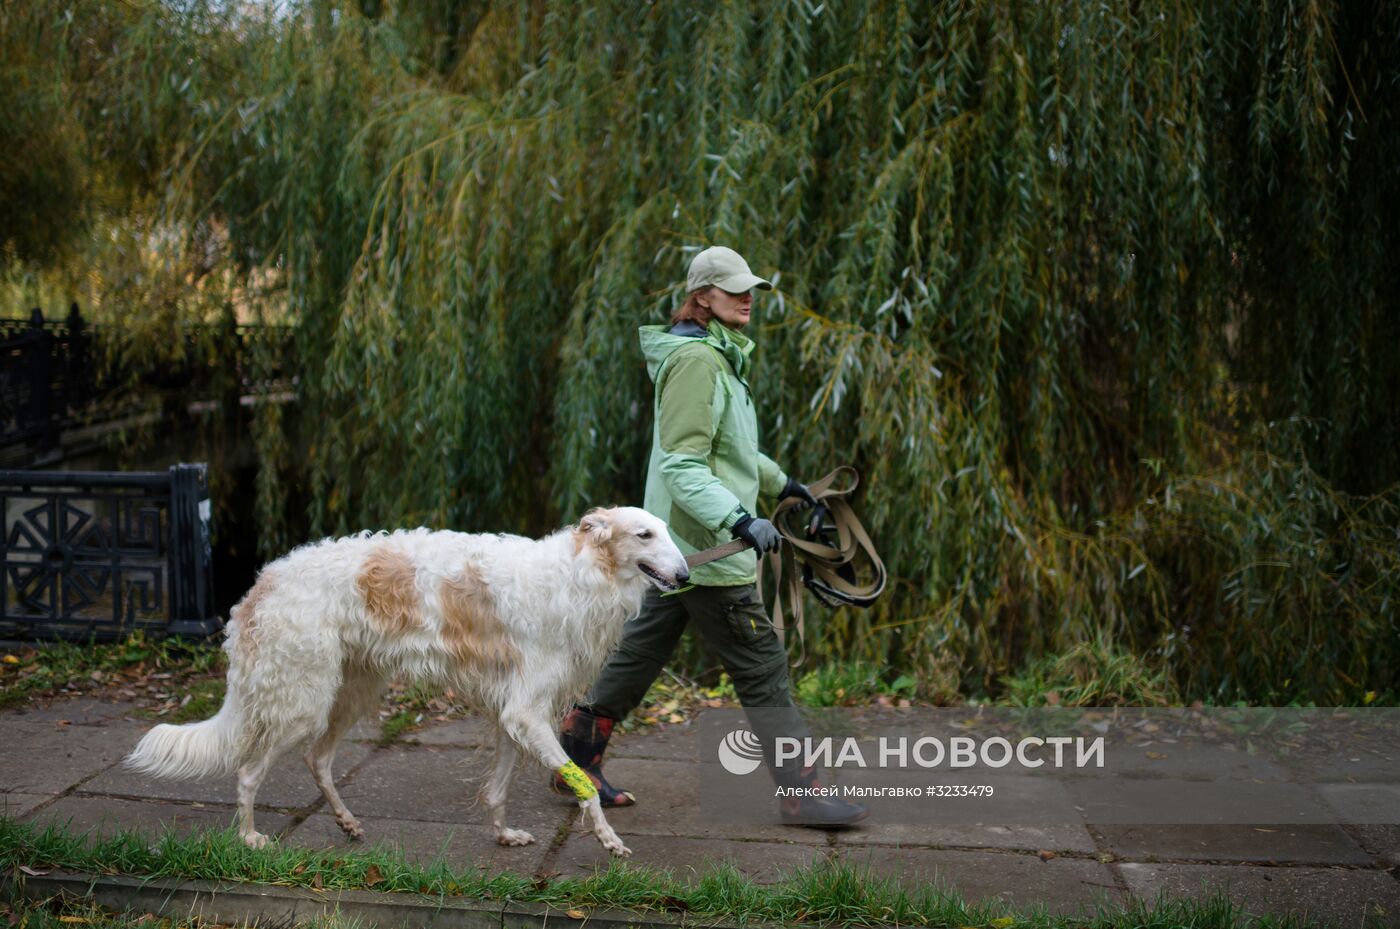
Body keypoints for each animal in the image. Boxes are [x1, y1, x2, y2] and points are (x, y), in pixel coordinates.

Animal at [128, 509, 686, 856]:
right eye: (644, 535)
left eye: (669, 531)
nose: (684, 576)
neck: (578, 576)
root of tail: (261, 584)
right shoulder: (524, 712)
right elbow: (583, 787)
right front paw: (608, 841)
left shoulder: (515, 714)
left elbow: (499, 789)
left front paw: (504, 835)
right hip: (305, 702)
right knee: (248, 772)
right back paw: (249, 839)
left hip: (352, 690)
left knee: (318, 759)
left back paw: (347, 822)